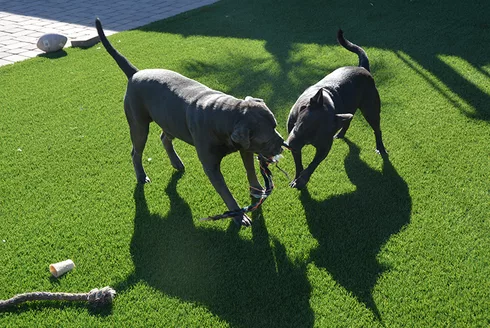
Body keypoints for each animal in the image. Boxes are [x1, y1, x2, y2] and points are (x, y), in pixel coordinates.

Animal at [95, 19, 284, 227]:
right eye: (266, 139)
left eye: (275, 126)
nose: (283, 144)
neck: (228, 116)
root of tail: (135, 74)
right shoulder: (211, 167)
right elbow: (225, 192)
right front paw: (239, 215)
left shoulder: (245, 147)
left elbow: (250, 169)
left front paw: (257, 189)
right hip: (139, 125)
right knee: (136, 151)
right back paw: (141, 175)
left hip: (171, 121)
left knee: (164, 138)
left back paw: (176, 162)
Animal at [288, 30, 386, 190]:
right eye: (300, 126)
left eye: (312, 138)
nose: (290, 146)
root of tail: (363, 68)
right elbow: (298, 163)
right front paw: (297, 177)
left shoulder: (324, 148)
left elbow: (312, 165)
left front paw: (303, 179)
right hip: (350, 109)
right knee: (348, 121)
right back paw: (341, 133)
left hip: (370, 110)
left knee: (377, 129)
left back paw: (380, 147)